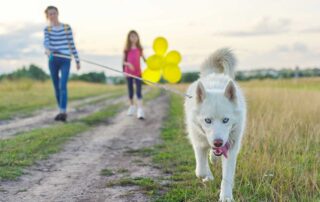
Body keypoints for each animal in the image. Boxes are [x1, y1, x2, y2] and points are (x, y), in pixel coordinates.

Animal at [184, 48, 246, 201]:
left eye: (226, 120)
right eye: (208, 120)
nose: (218, 142)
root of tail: (212, 74)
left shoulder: (231, 147)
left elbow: (227, 177)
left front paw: (226, 196)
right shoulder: (198, 143)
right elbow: (200, 170)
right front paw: (208, 176)